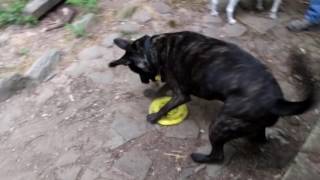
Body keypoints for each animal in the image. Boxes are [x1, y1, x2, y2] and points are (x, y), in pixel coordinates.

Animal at [108, 31, 316, 164]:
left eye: (137, 71)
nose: (144, 81)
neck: (155, 47)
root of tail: (277, 102)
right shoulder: (175, 83)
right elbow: (164, 89)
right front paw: (153, 93)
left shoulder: (181, 94)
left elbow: (166, 105)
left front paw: (154, 117)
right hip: (248, 127)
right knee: (259, 139)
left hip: (219, 125)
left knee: (218, 156)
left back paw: (200, 158)